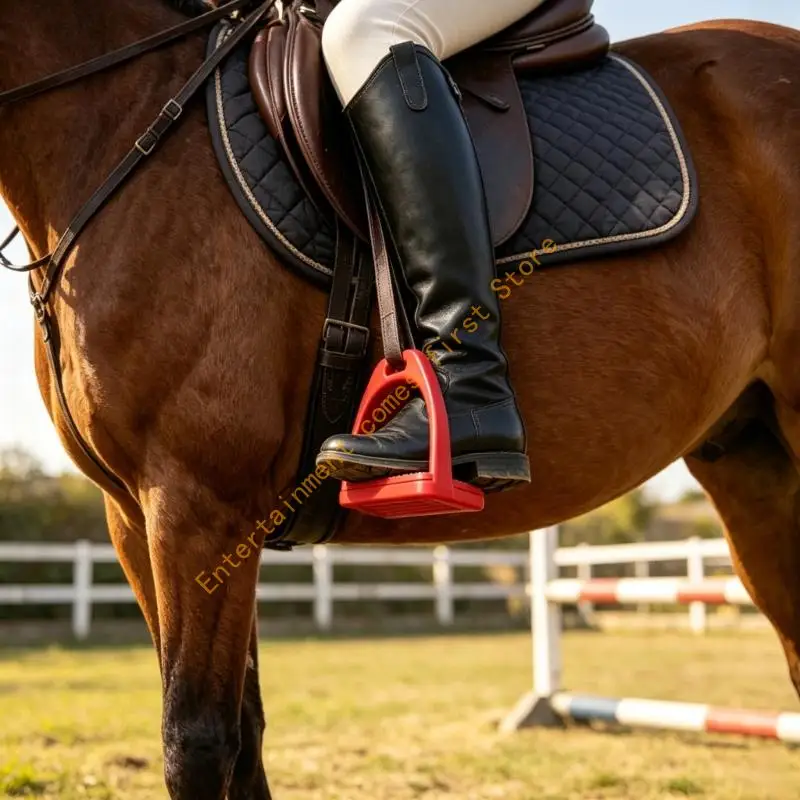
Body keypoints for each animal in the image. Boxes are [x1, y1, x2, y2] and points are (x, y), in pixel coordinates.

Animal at [1, 0, 799, 797]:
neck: (120, 124)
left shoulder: (200, 503)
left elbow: (197, 741)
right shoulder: (136, 515)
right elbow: (245, 736)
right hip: (750, 459)